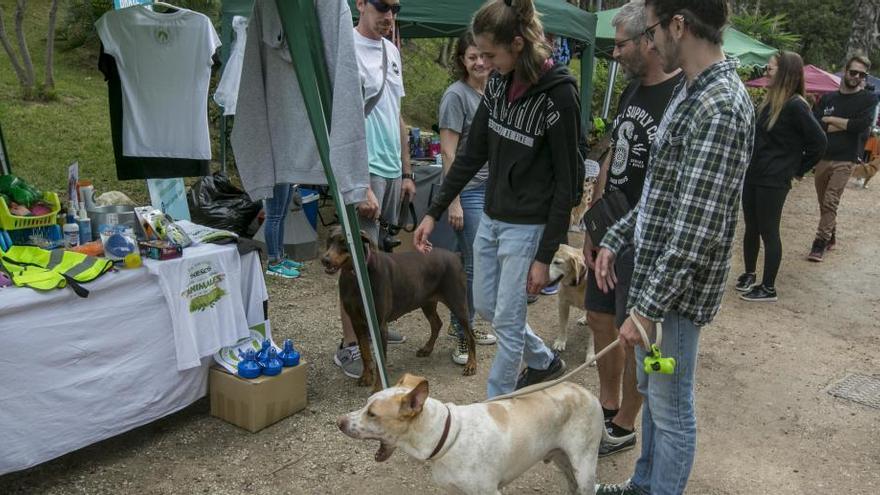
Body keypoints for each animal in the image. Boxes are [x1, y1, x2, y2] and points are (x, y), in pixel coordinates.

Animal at [322, 229, 478, 392]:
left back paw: (471, 365)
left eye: (344, 242)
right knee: (437, 324)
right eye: (329, 240)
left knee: (470, 335)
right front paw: (366, 377)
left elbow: (380, 361)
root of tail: (455, 256)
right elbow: (365, 352)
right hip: (427, 302)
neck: (356, 277)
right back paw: (427, 349)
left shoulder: (379, 325)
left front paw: (378, 389)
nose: (325, 260)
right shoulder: (356, 321)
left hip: (458, 304)